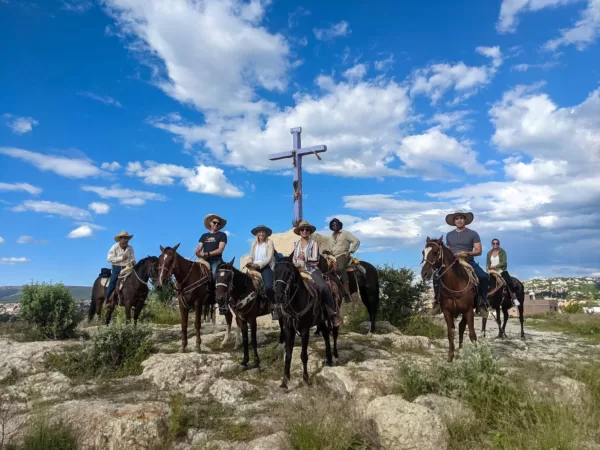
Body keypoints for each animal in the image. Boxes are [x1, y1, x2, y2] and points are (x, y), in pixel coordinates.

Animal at [274, 256, 342, 390]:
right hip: (321, 320)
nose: (278, 297)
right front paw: (285, 381)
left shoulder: (305, 329)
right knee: (326, 336)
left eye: (289, 273)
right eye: (275, 271)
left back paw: (336, 356)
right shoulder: (289, 329)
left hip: (334, 313)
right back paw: (328, 359)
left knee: (334, 334)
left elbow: (304, 355)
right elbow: (288, 355)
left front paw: (305, 379)